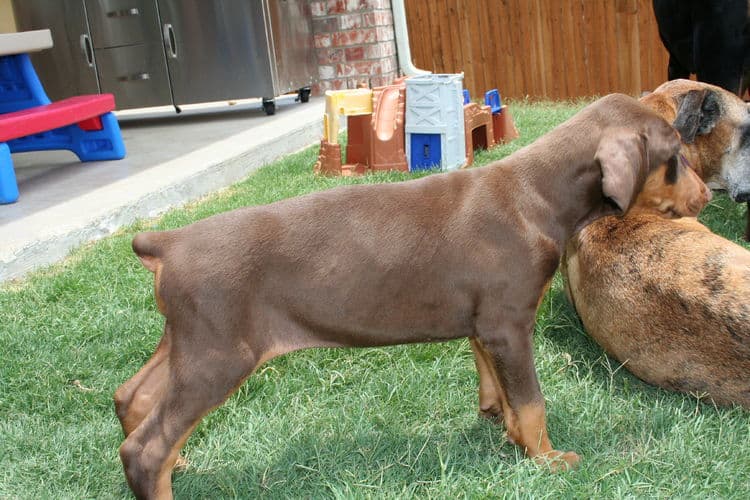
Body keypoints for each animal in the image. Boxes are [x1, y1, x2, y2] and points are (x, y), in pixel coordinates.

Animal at [114, 94, 684, 500]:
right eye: (676, 156)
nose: (705, 193)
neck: (536, 194)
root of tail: (169, 242)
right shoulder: (510, 324)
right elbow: (532, 401)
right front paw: (546, 458)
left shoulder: (486, 326)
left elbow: (497, 385)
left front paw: (503, 428)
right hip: (219, 354)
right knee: (146, 448)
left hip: (188, 339)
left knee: (132, 397)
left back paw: (180, 462)